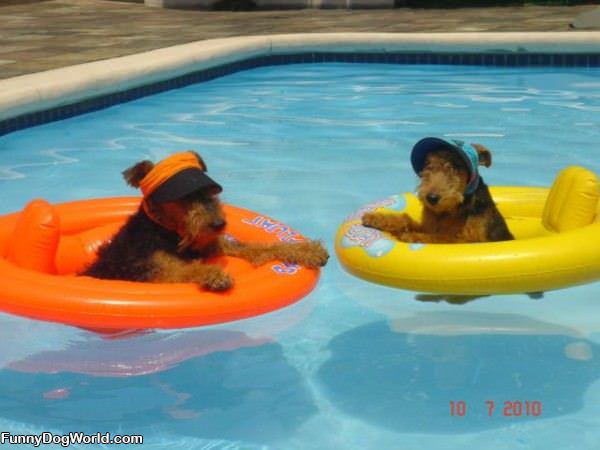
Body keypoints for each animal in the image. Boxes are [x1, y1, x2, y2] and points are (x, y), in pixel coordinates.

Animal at [81, 151, 328, 292]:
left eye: (210, 191)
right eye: (183, 198)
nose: (219, 224)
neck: (167, 231)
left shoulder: (214, 244)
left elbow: (257, 246)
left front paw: (309, 251)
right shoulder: (154, 271)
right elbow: (186, 269)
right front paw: (214, 275)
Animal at [364, 137, 512, 244]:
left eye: (455, 166)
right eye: (428, 164)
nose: (432, 198)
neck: (451, 210)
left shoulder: (471, 240)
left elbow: (441, 238)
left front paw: (412, 236)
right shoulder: (427, 226)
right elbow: (406, 219)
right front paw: (375, 218)